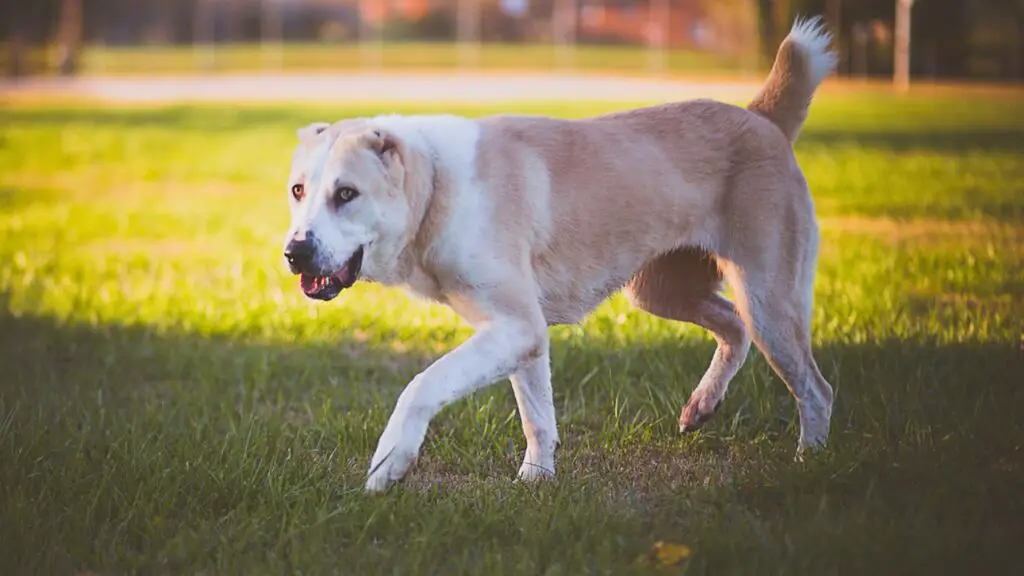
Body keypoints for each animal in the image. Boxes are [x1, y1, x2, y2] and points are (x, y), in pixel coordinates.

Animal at [282, 15, 839, 491]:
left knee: (816, 389)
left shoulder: (517, 325)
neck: (437, 187)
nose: (294, 253)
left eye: (347, 194)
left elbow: (423, 384)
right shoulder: (523, 335)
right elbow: (537, 417)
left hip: (768, 297)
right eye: (297, 191)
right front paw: (537, 479)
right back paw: (703, 404)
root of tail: (761, 119)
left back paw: (809, 463)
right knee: (734, 328)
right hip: (660, 292)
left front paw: (390, 463)